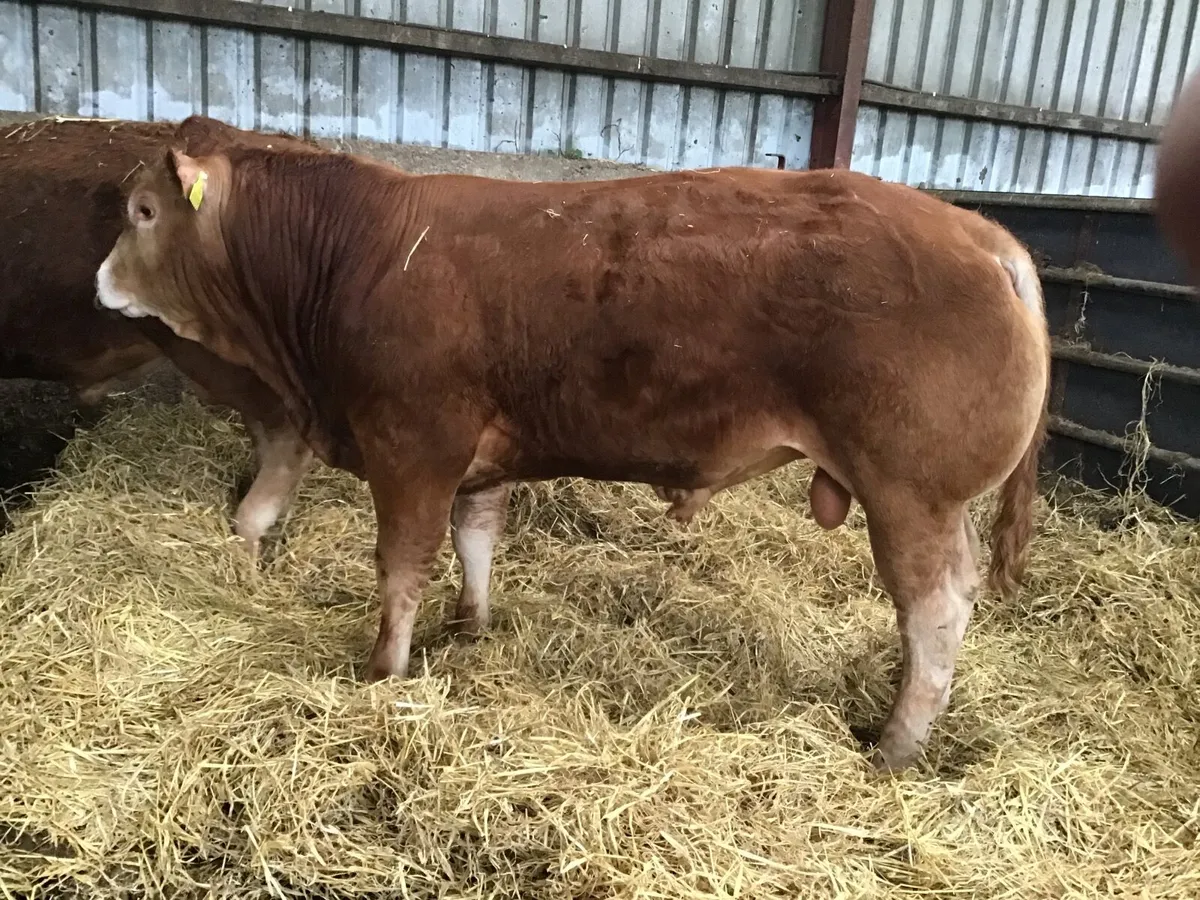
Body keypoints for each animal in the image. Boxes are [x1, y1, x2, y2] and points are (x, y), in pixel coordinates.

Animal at [94, 145, 1050, 771]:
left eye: (142, 212)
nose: (99, 283)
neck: (359, 248)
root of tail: (982, 234)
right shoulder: (476, 458)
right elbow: (477, 537)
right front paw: (470, 627)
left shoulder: (411, 444)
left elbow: (401, 565)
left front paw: (382, 674)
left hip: (911, 494)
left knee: (935, 613)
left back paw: (895, 743)